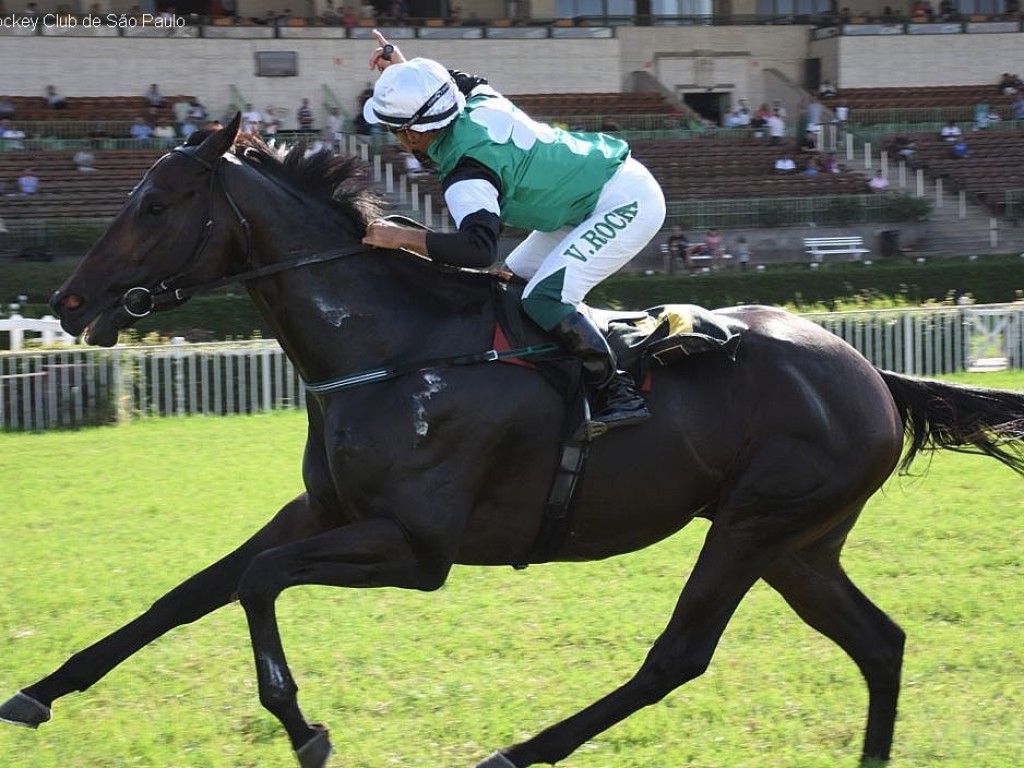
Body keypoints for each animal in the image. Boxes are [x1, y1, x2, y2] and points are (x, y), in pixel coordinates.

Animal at [2, 115, 1024, 768]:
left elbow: (256, 582)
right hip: (799, 544)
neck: (396, 347)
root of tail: (870, 374)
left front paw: (303, 728)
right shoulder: (323, 509)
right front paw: (39, 691)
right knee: (880, 644)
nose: (69, 304)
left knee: (676, 658)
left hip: (753, 526)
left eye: (158, 204)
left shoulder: (418, 550)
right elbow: (188, 594)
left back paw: (515, 753)